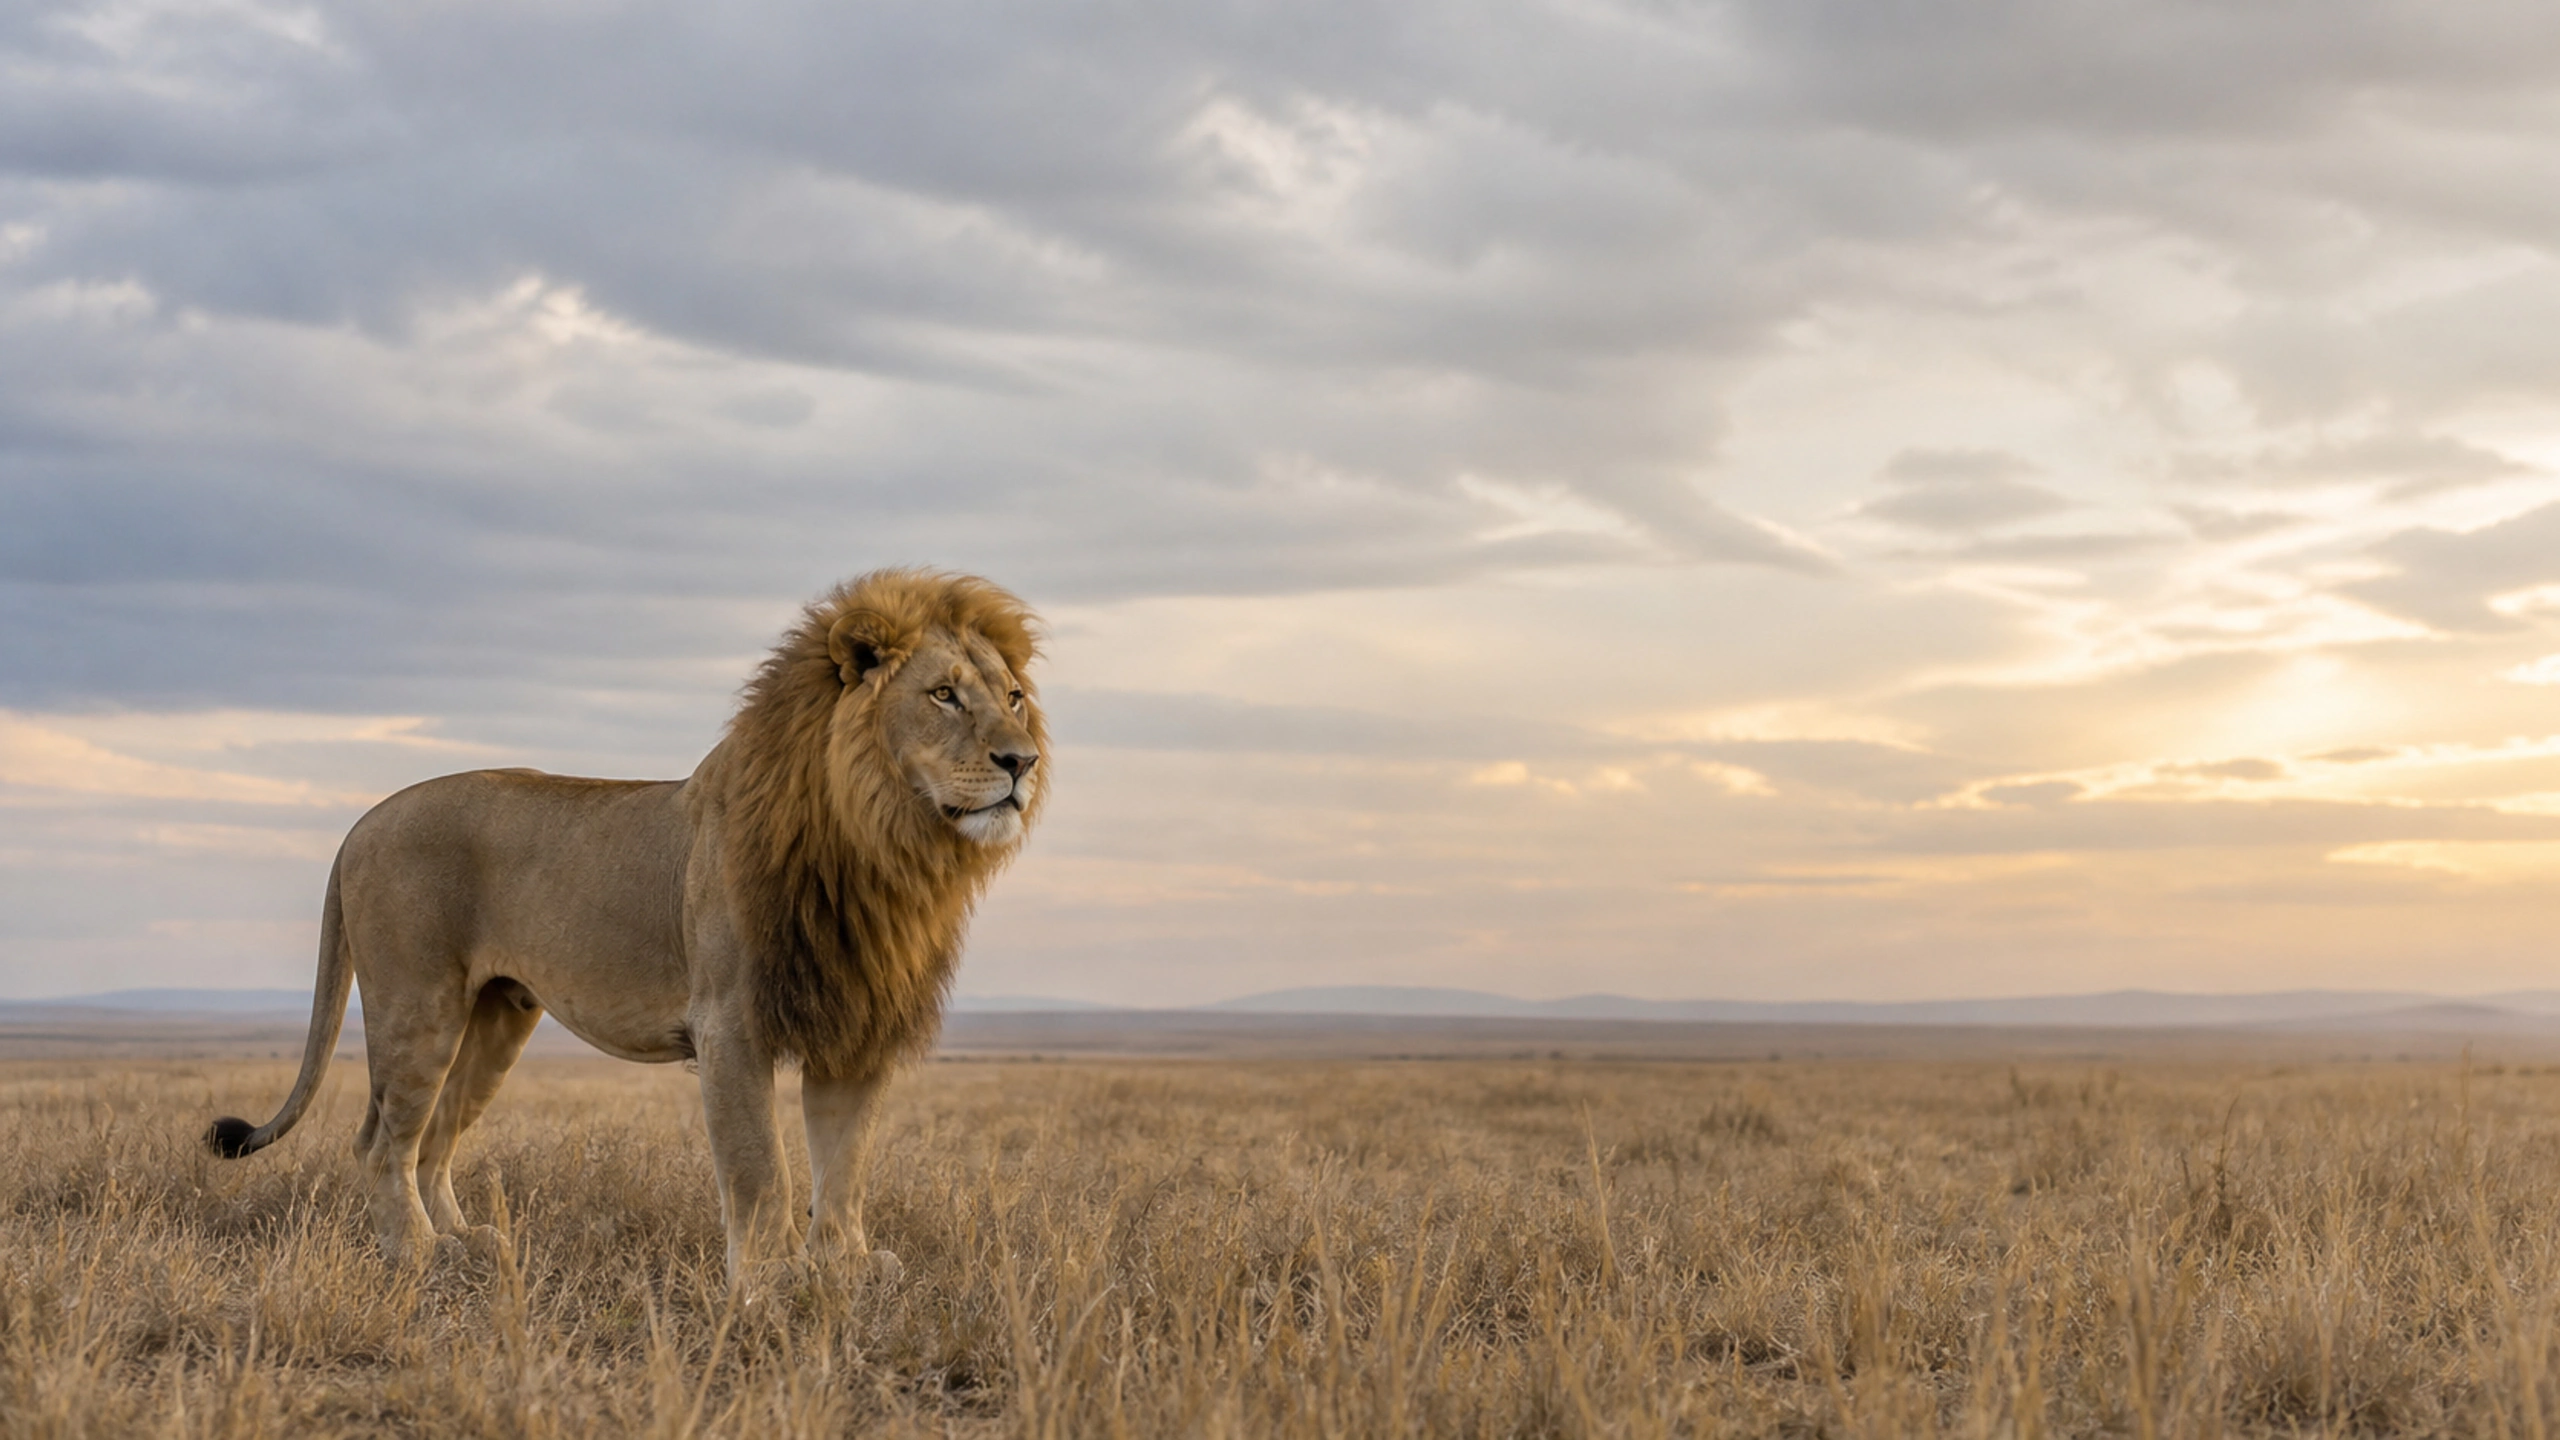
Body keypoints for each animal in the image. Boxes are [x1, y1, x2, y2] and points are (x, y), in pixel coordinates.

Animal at [205, 568, 1047, 1284]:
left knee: (435, 1138)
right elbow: (762, 1169)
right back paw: (416, 1254)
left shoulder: (855, 1025)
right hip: (418, 1005)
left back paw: (466, 1242)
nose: (1023, 761)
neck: (881, 846)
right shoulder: (731, 1024)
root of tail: (362, 822)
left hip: (498, 1017)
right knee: (382, 1141)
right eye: (943, 694)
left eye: (1013, 697)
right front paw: (772, 1282)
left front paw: (847, 1268)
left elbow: (844, 1166)